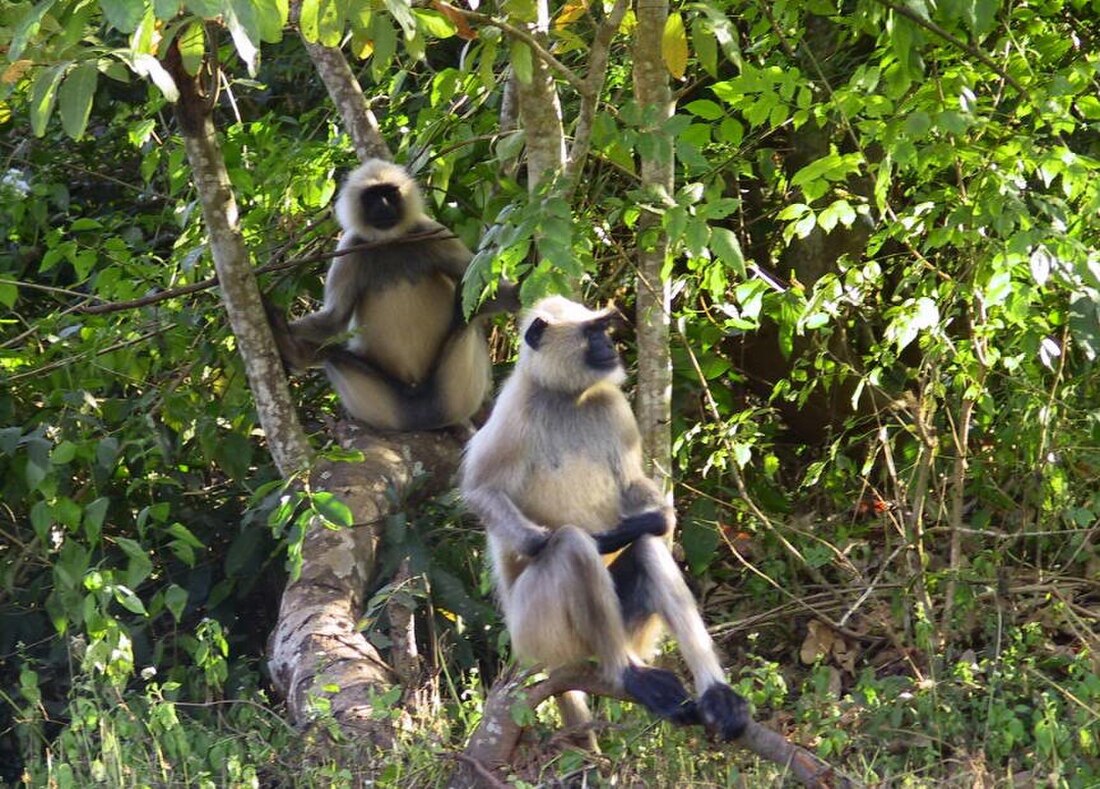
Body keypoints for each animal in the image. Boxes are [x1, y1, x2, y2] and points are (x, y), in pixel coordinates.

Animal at [270, 159, 519, 431]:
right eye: (372, 197)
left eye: (389, 194)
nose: (384, 206)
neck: (389, 243)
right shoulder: (350, 248)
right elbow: (334, 321)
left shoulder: (431, 231)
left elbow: (476, 291)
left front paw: (520, 293)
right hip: (389, 407)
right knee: (329, 353)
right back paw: (291, 349)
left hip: (454, 392)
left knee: (469, 316)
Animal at [459, 294, 752, 743]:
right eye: (592, 332)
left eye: (603, 329)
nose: (610, 345)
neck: (567, 398)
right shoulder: (513, 410)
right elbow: (481, 492)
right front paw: (588, 539)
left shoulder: (613, 405)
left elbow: (633, 487)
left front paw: (654, 521)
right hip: (539, 632)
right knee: (571, 547)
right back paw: (627, 673)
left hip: (634, 630)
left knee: (646, 549)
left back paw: (716, 694)